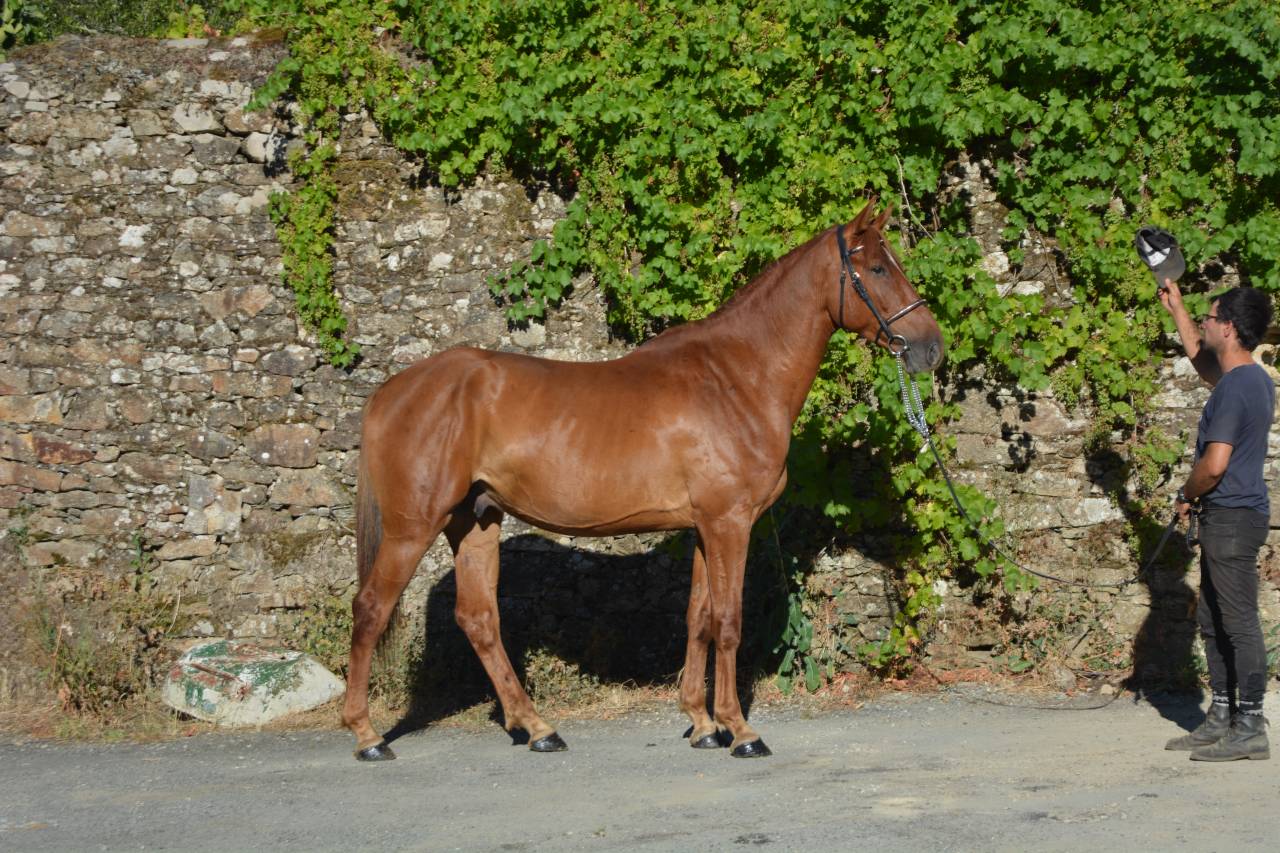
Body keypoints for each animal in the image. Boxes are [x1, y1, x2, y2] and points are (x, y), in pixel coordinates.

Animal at [342, 199, 945, 761]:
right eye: (877, 268)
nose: (931, 347)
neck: (737, 378)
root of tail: (391, 391)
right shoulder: (730, 524)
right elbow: (728, 620)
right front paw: (741, 731)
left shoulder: (705, 527)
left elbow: (698, 618)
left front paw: (702, 724)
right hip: (413, 527)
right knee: (370, 609)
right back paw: (367, 736)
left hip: (475, 521)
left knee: (479, 620)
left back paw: (537, 729)